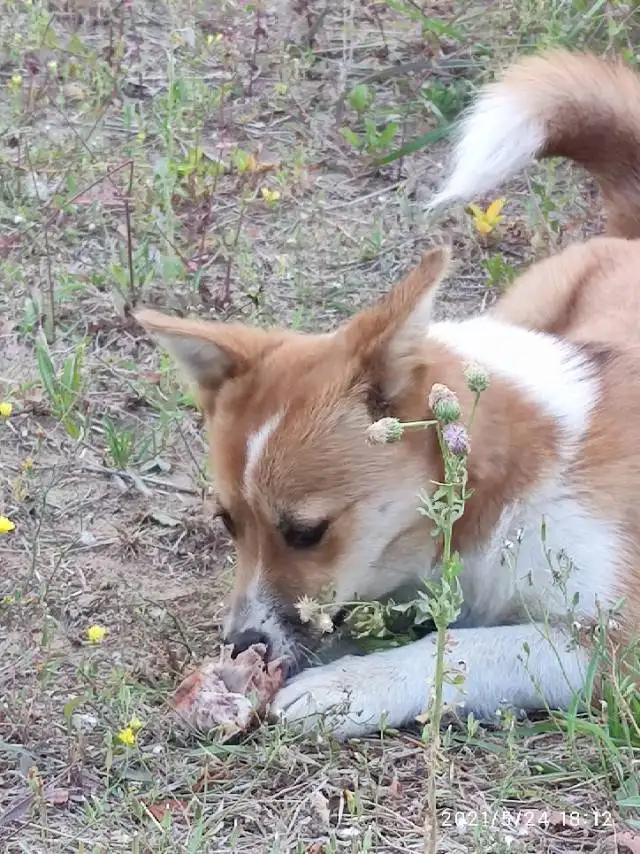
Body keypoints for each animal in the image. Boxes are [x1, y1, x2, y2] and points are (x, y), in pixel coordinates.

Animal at [138, 50, 640, 740]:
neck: (508, 484)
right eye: (227, 523)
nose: (241, 644)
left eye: (307, 532)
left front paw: (348, 688)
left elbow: (464, 648)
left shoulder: (615, 645)